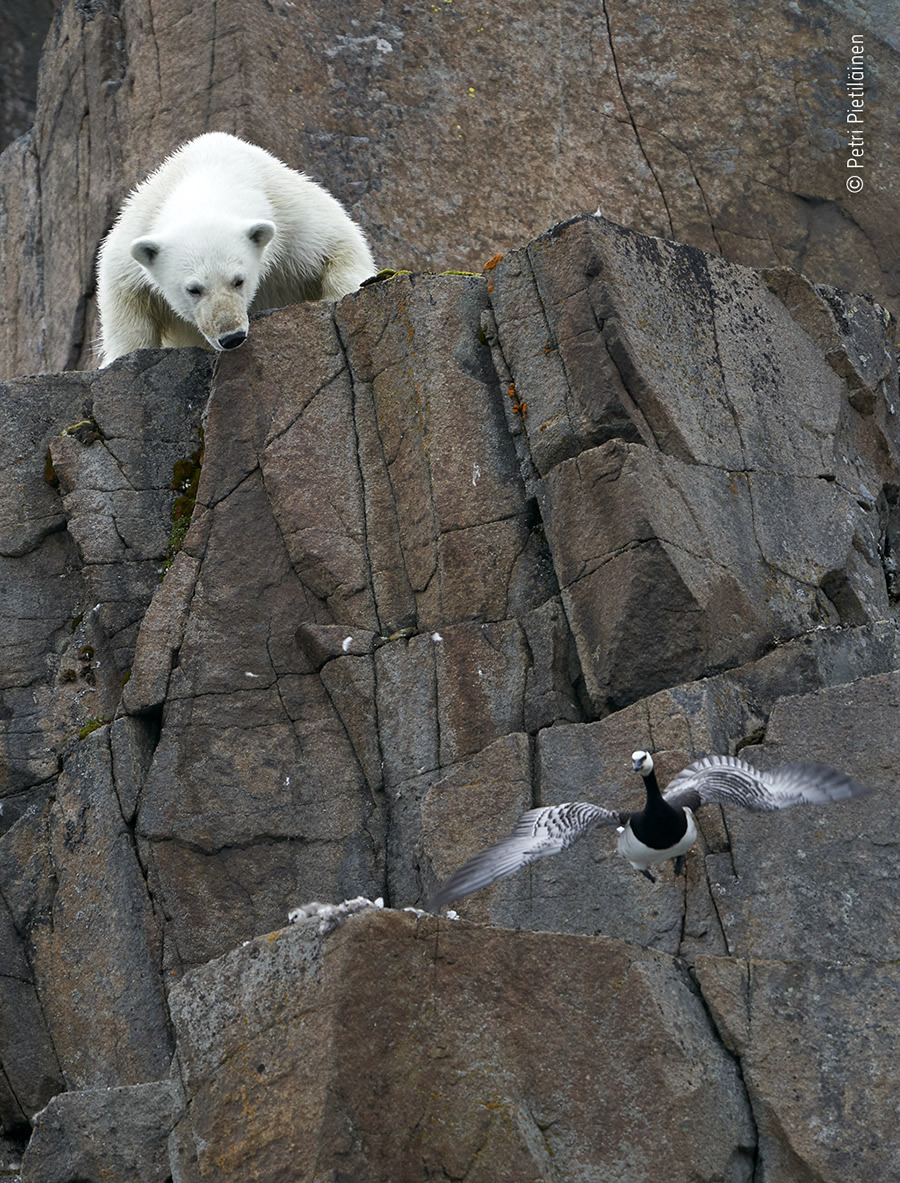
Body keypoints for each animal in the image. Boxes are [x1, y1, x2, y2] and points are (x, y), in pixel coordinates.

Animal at [96, 133, 378, 364]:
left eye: (239, 280)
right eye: (193, 289)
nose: (231, 337)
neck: (211, 172)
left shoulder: (294, 219)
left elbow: (341, 246)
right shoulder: (131, 245)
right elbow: (126, 315)